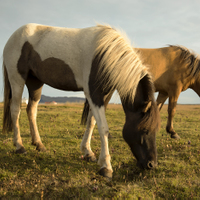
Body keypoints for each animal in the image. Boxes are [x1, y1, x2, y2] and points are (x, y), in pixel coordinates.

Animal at [2, 23, 160, 178]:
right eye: (145, 130)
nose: (151, 164)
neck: (104, 54)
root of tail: (12, 37)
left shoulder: (103, 96)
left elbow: (91, 122)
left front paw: (88, 152)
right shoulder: (94, 94)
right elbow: (103, 128)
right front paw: (106, 166)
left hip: (35, 83)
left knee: (31, 111)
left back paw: (39, 144)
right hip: (17, 79)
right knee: (15, 110)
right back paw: (19, 146)